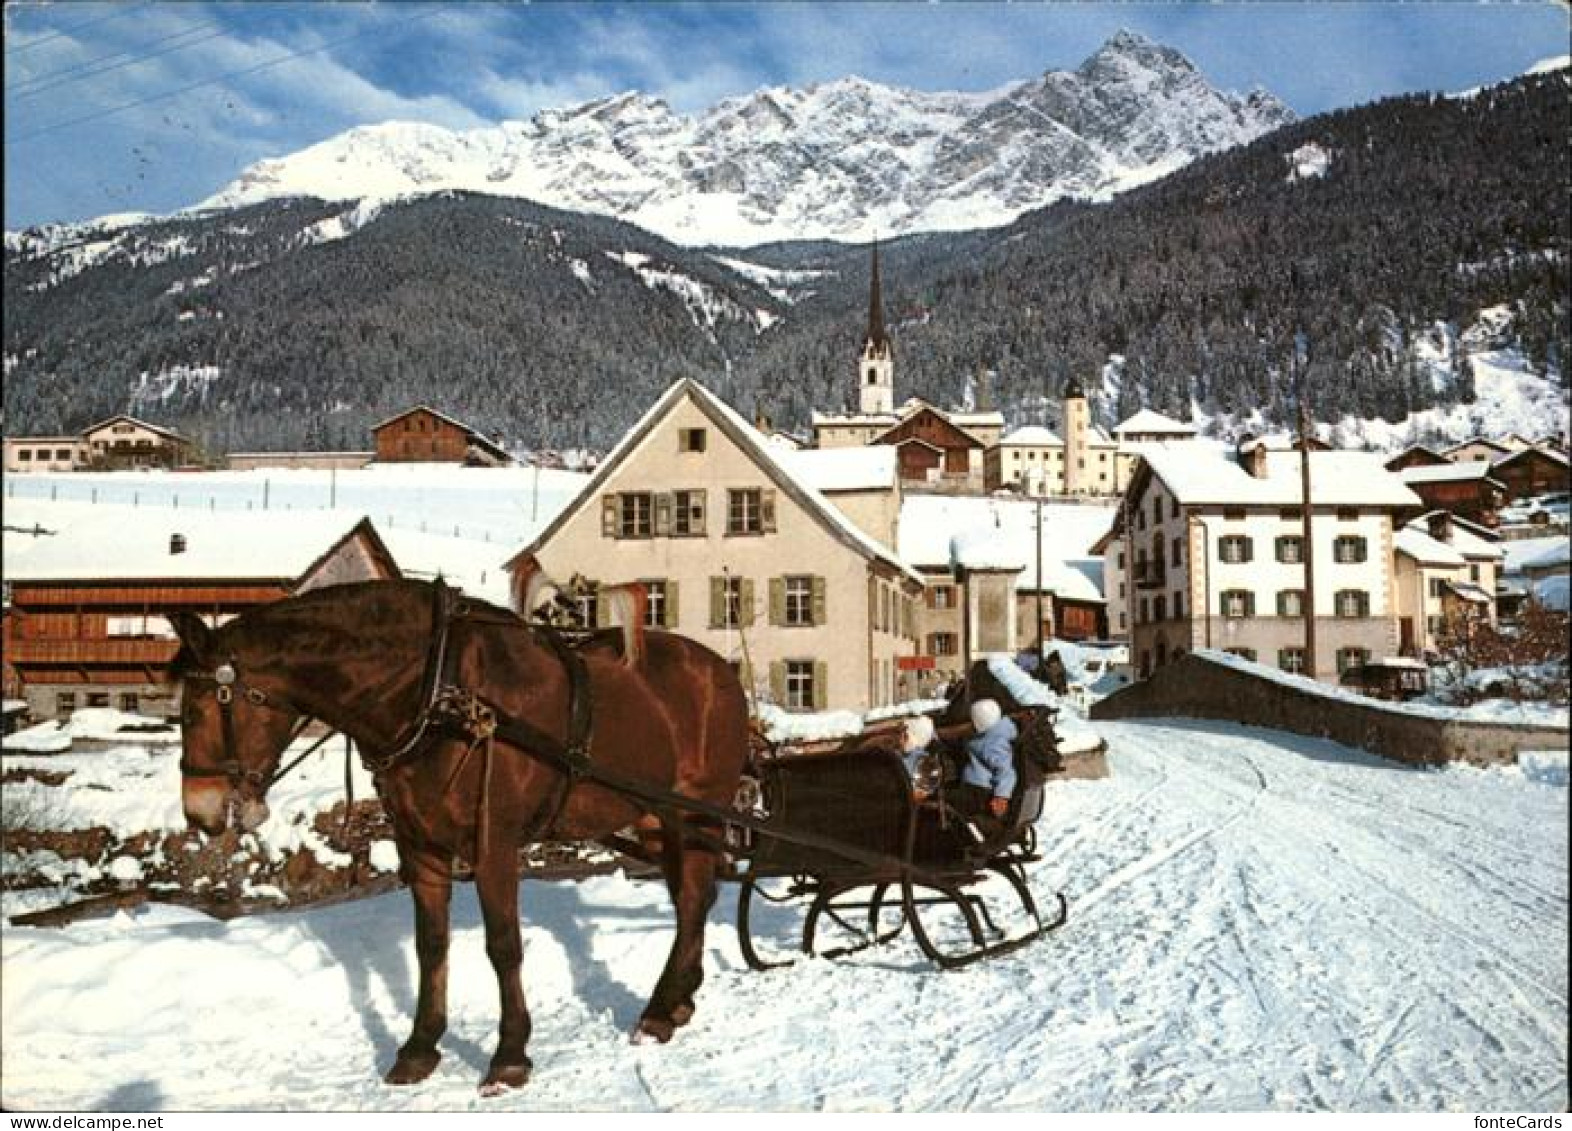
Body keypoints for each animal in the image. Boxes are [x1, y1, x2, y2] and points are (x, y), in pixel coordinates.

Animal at [172, 578, 754, 1094]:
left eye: (200, 708)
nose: (200, 813)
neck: (439, 697)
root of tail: (719, 672)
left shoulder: (493, 845)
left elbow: (504, 947)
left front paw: (510, 1055)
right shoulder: (421, 847)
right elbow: (431, 947)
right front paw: (419, 1047)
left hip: (697, 813)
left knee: (694, 897)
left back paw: (659, 1010)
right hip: (659, 821)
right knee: (691, 900)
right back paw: (678, 997)